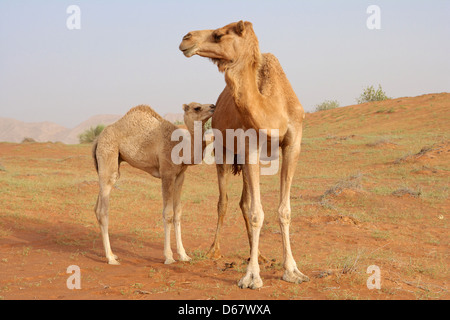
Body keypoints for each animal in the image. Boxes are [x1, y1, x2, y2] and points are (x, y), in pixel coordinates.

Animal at [91, 102, 214, 264]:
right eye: (197, 108)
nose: (213, 106)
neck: (182, 148)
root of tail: (97, 139)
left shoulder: (180, 176)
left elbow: (178, 213)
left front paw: (184, 255)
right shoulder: (167, 173)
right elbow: (168, 214)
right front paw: (169, 257)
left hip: (112, 162)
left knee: (97, 206)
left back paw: (113, 254)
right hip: (108, 154)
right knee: (103, 208)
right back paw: (111, 258)